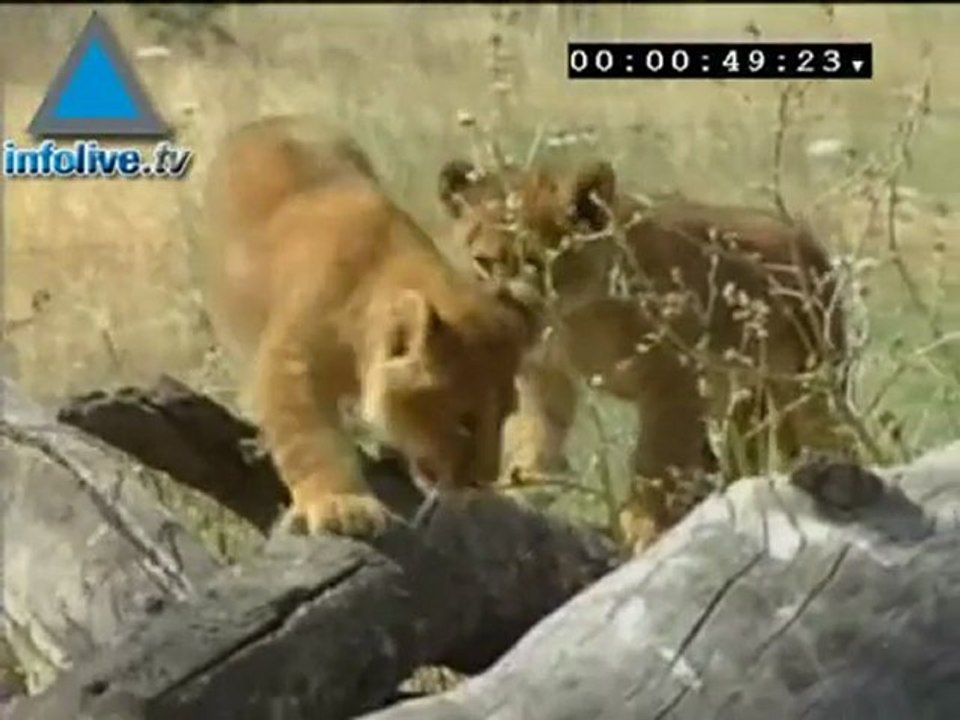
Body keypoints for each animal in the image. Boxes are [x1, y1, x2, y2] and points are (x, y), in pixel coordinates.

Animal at [197, 116, 537, 537]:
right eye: (465, 422)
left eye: (505, 416)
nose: (482, 482)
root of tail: (265, 121)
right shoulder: (291, 363)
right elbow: (310, 439)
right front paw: (342, 505)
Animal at [437, 157, 855, 546]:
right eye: (483, 262)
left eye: (539, 262)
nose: (506, 310)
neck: (571, 324)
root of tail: (807, 241)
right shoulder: (543, 384)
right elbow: (532, 447)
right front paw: (518, 496)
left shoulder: (677, 382)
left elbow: (655, 462)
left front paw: (642, 528)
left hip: (810, 391)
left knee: (835, 440)